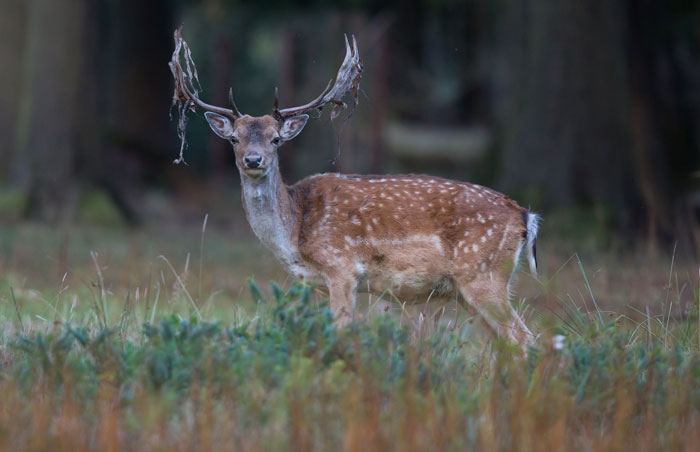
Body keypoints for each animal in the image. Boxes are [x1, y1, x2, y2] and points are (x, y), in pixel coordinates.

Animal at [169, 27, 540, 347]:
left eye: (276, 139)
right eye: (234, 138)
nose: (254, 159)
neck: (295, 231)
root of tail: (525, 216)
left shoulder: (342, 267)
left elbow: (340, 331)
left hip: (483, 273)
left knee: (525, 339)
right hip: (468, 289)